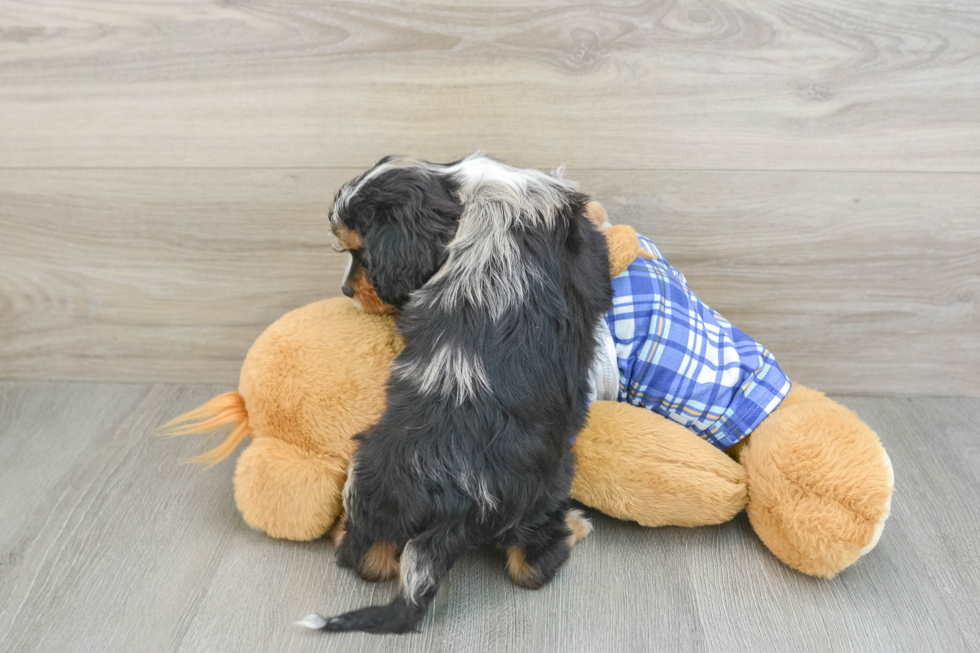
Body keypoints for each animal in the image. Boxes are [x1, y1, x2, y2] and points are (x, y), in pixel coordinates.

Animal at [302, 153, 612, 632]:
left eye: (362, 253)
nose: (345, 290)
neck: (463, 191)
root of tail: (454, 504)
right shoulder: (585, 252)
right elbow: (595, 228)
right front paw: (599, 209)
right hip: (548, 483)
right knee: (530, 566)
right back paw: (576, 527)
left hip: (369, 472)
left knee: (369, 559)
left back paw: (344, 532)